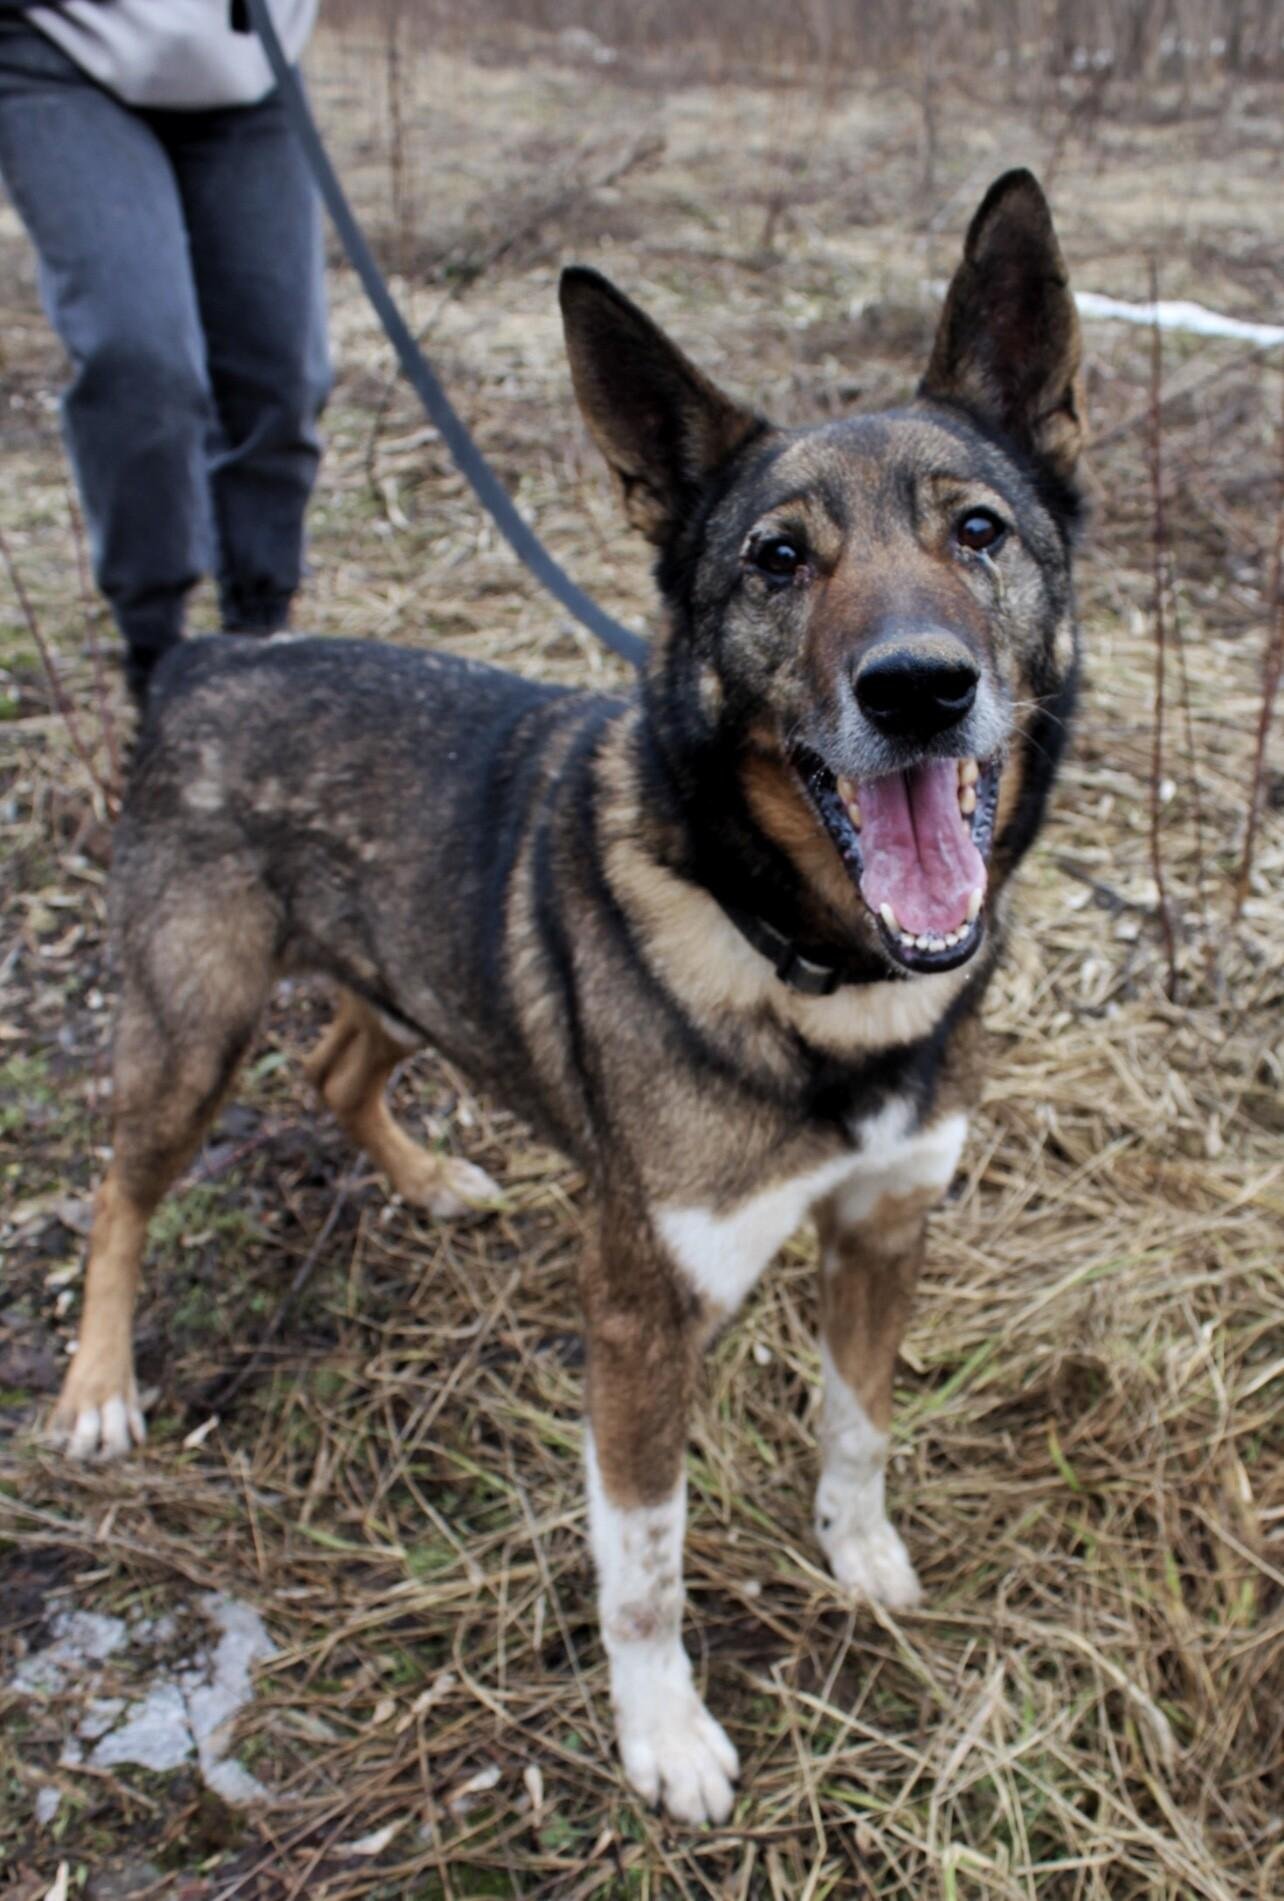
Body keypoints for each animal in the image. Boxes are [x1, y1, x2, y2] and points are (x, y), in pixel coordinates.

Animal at [49, 168, 1083, 1823]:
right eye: (777, 559)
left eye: (979, 531)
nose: (920, 688)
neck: (811, 967)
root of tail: (205, 659)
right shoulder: (641, 1315)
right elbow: (646, 1558)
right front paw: (664, 1736)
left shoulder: (884, 1227)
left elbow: (858, 1422)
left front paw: (860, 1556)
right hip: (190, 1029)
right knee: (120, 1191)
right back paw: (96, 1388)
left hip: (402, 969)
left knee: (339, 1071)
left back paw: (426, 1179)